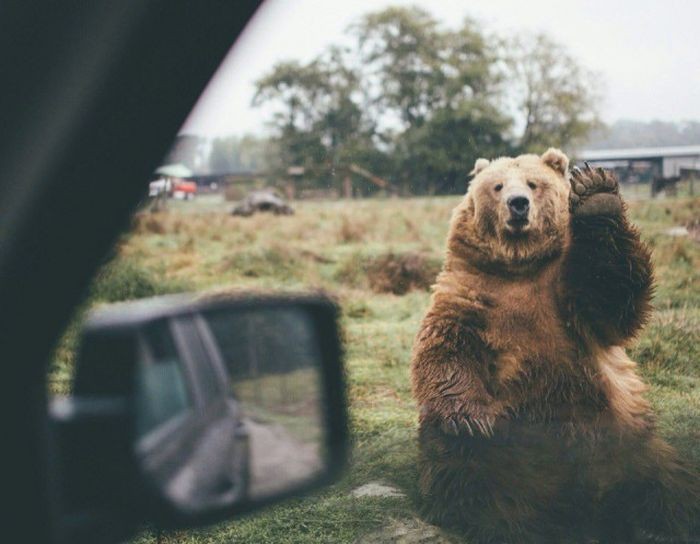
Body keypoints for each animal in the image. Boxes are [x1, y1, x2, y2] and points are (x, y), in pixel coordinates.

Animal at [410, 150, 700, 544]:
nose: (518, 204)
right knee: (466, 470)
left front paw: (596, 194)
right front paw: (470, 419)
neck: (519, 265)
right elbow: (447, 348)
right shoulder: (471, 294)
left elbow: (611, 296)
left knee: (666, 485)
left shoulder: (568, 297)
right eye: (497, 185)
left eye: (534, 183)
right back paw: (501, 521)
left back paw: (655, 526)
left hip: (630, 441)